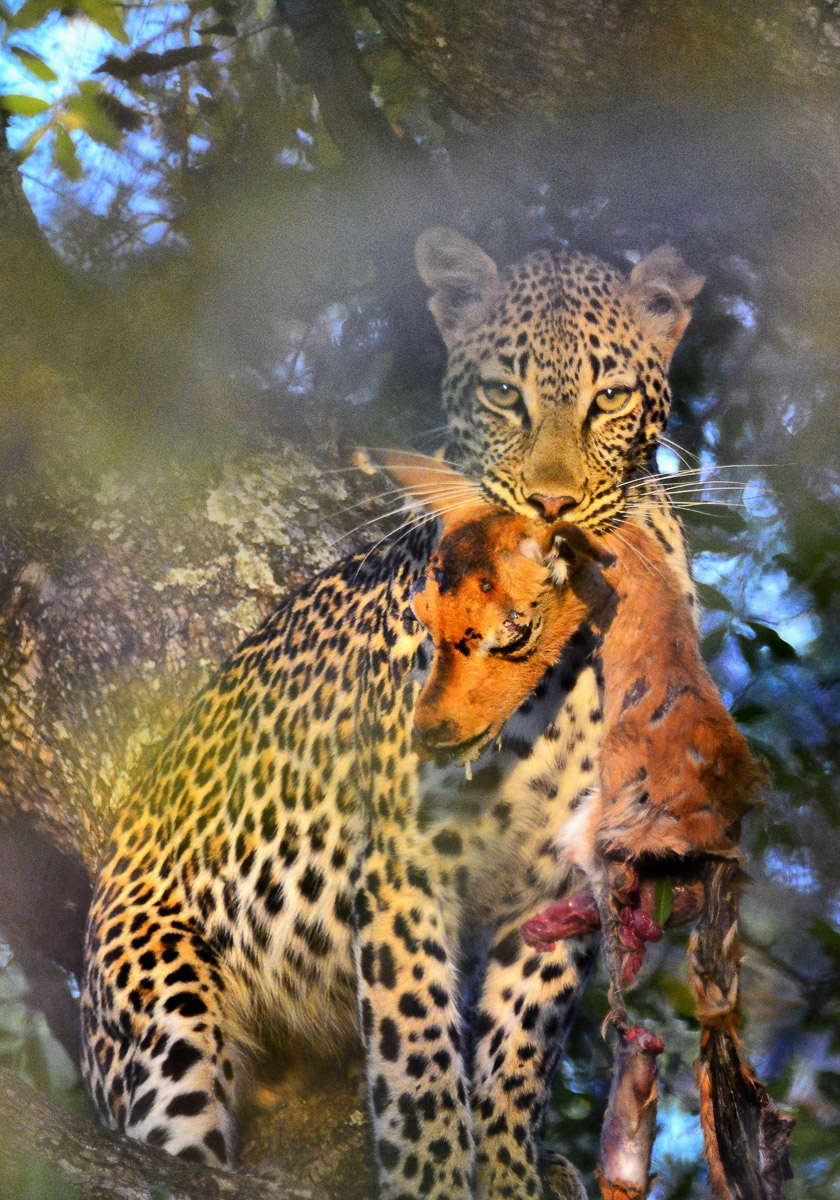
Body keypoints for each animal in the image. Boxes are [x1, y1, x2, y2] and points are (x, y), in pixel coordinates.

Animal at [81, 227, 704, 1200]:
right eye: (503, 394)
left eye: (609, 399)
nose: (552, 506)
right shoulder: (405, 867)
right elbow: (418, 1063)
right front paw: (436, 1176)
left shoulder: (558, 886)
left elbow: (516, 1060)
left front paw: (510, 1172)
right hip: (163, 1001)